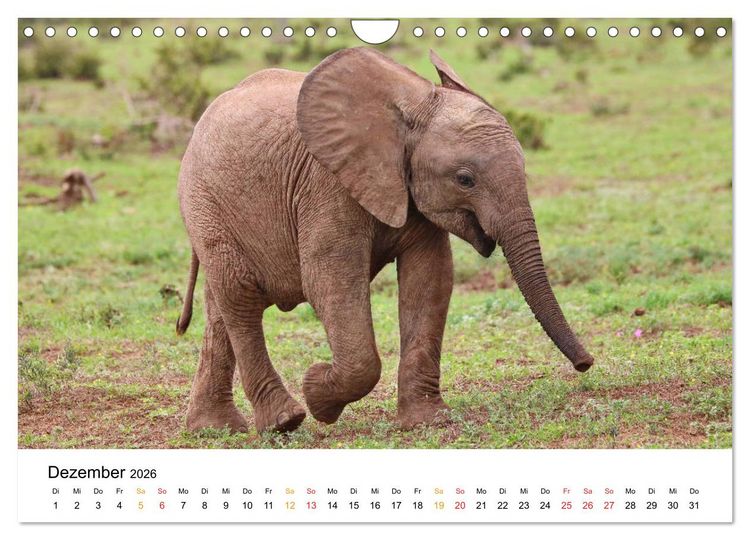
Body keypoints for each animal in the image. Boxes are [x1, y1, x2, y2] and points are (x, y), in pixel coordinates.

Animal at [175, 47, 594, 435]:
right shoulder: (326, 183)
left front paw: (427, 421)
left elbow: (430, 277)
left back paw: (215, 427)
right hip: (205, 202)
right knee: (239, 297)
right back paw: (284, 422)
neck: (411, 105)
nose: (586, 364)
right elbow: (329, 281)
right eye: (465, 179)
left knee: (220, 309)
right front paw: (317, 393)